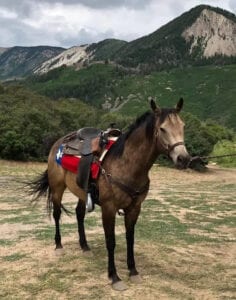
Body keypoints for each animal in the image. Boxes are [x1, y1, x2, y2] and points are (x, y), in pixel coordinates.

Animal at [29, 98, 191, 290]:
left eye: (183, 126)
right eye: (163, 128)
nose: (183, 159)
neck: (126, 164)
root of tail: (59, 142)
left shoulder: (134, 208)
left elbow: (130, 238)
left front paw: (133, 271)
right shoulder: (108, 208)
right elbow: (111, 241)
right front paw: (114, 277)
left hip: (81, 192)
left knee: (79, 214)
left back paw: (85, 247)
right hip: (57, 188)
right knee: (56, 214)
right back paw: (59, 246)